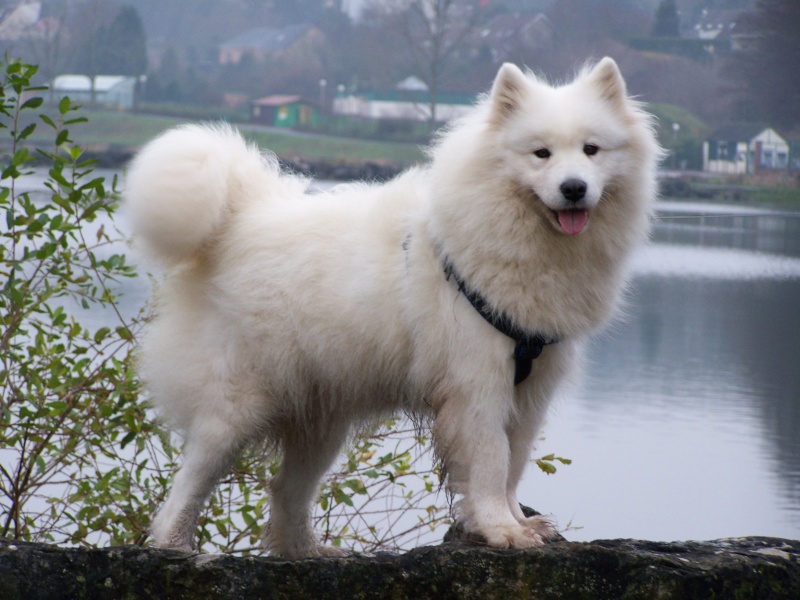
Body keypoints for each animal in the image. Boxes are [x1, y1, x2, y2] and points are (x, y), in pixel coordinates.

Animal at [126, 57, 661, 557]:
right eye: (541, 153)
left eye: (591, 150)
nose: (574, 188)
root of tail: (240, 217)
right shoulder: (478, 383)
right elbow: (491, 463)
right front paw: (501, 529)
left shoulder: (531, 388)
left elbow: (514, 463)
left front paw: (516, 522)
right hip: (238, 403)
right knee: (189, 482)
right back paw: (174, 544)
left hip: (320, 417)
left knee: (286, 489)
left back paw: (308, 551)